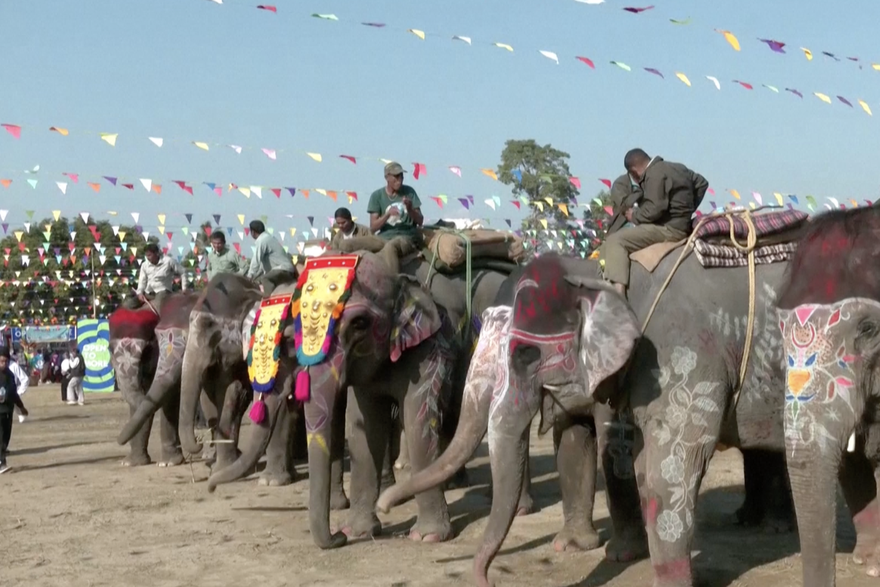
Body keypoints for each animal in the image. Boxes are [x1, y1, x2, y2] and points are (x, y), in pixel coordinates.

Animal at [110, 294, 198, 468]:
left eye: (148, 349)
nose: (118, 441)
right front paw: (130, 463)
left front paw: (168, 463)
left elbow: (170, 397)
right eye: (110, 350)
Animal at [208, 253, 508, 552]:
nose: (337, 537)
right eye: (294, 335)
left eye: (359, 323)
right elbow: (364, 430)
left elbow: (418, 424)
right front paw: (358, 531)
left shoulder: (430, 347)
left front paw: (428, 537)